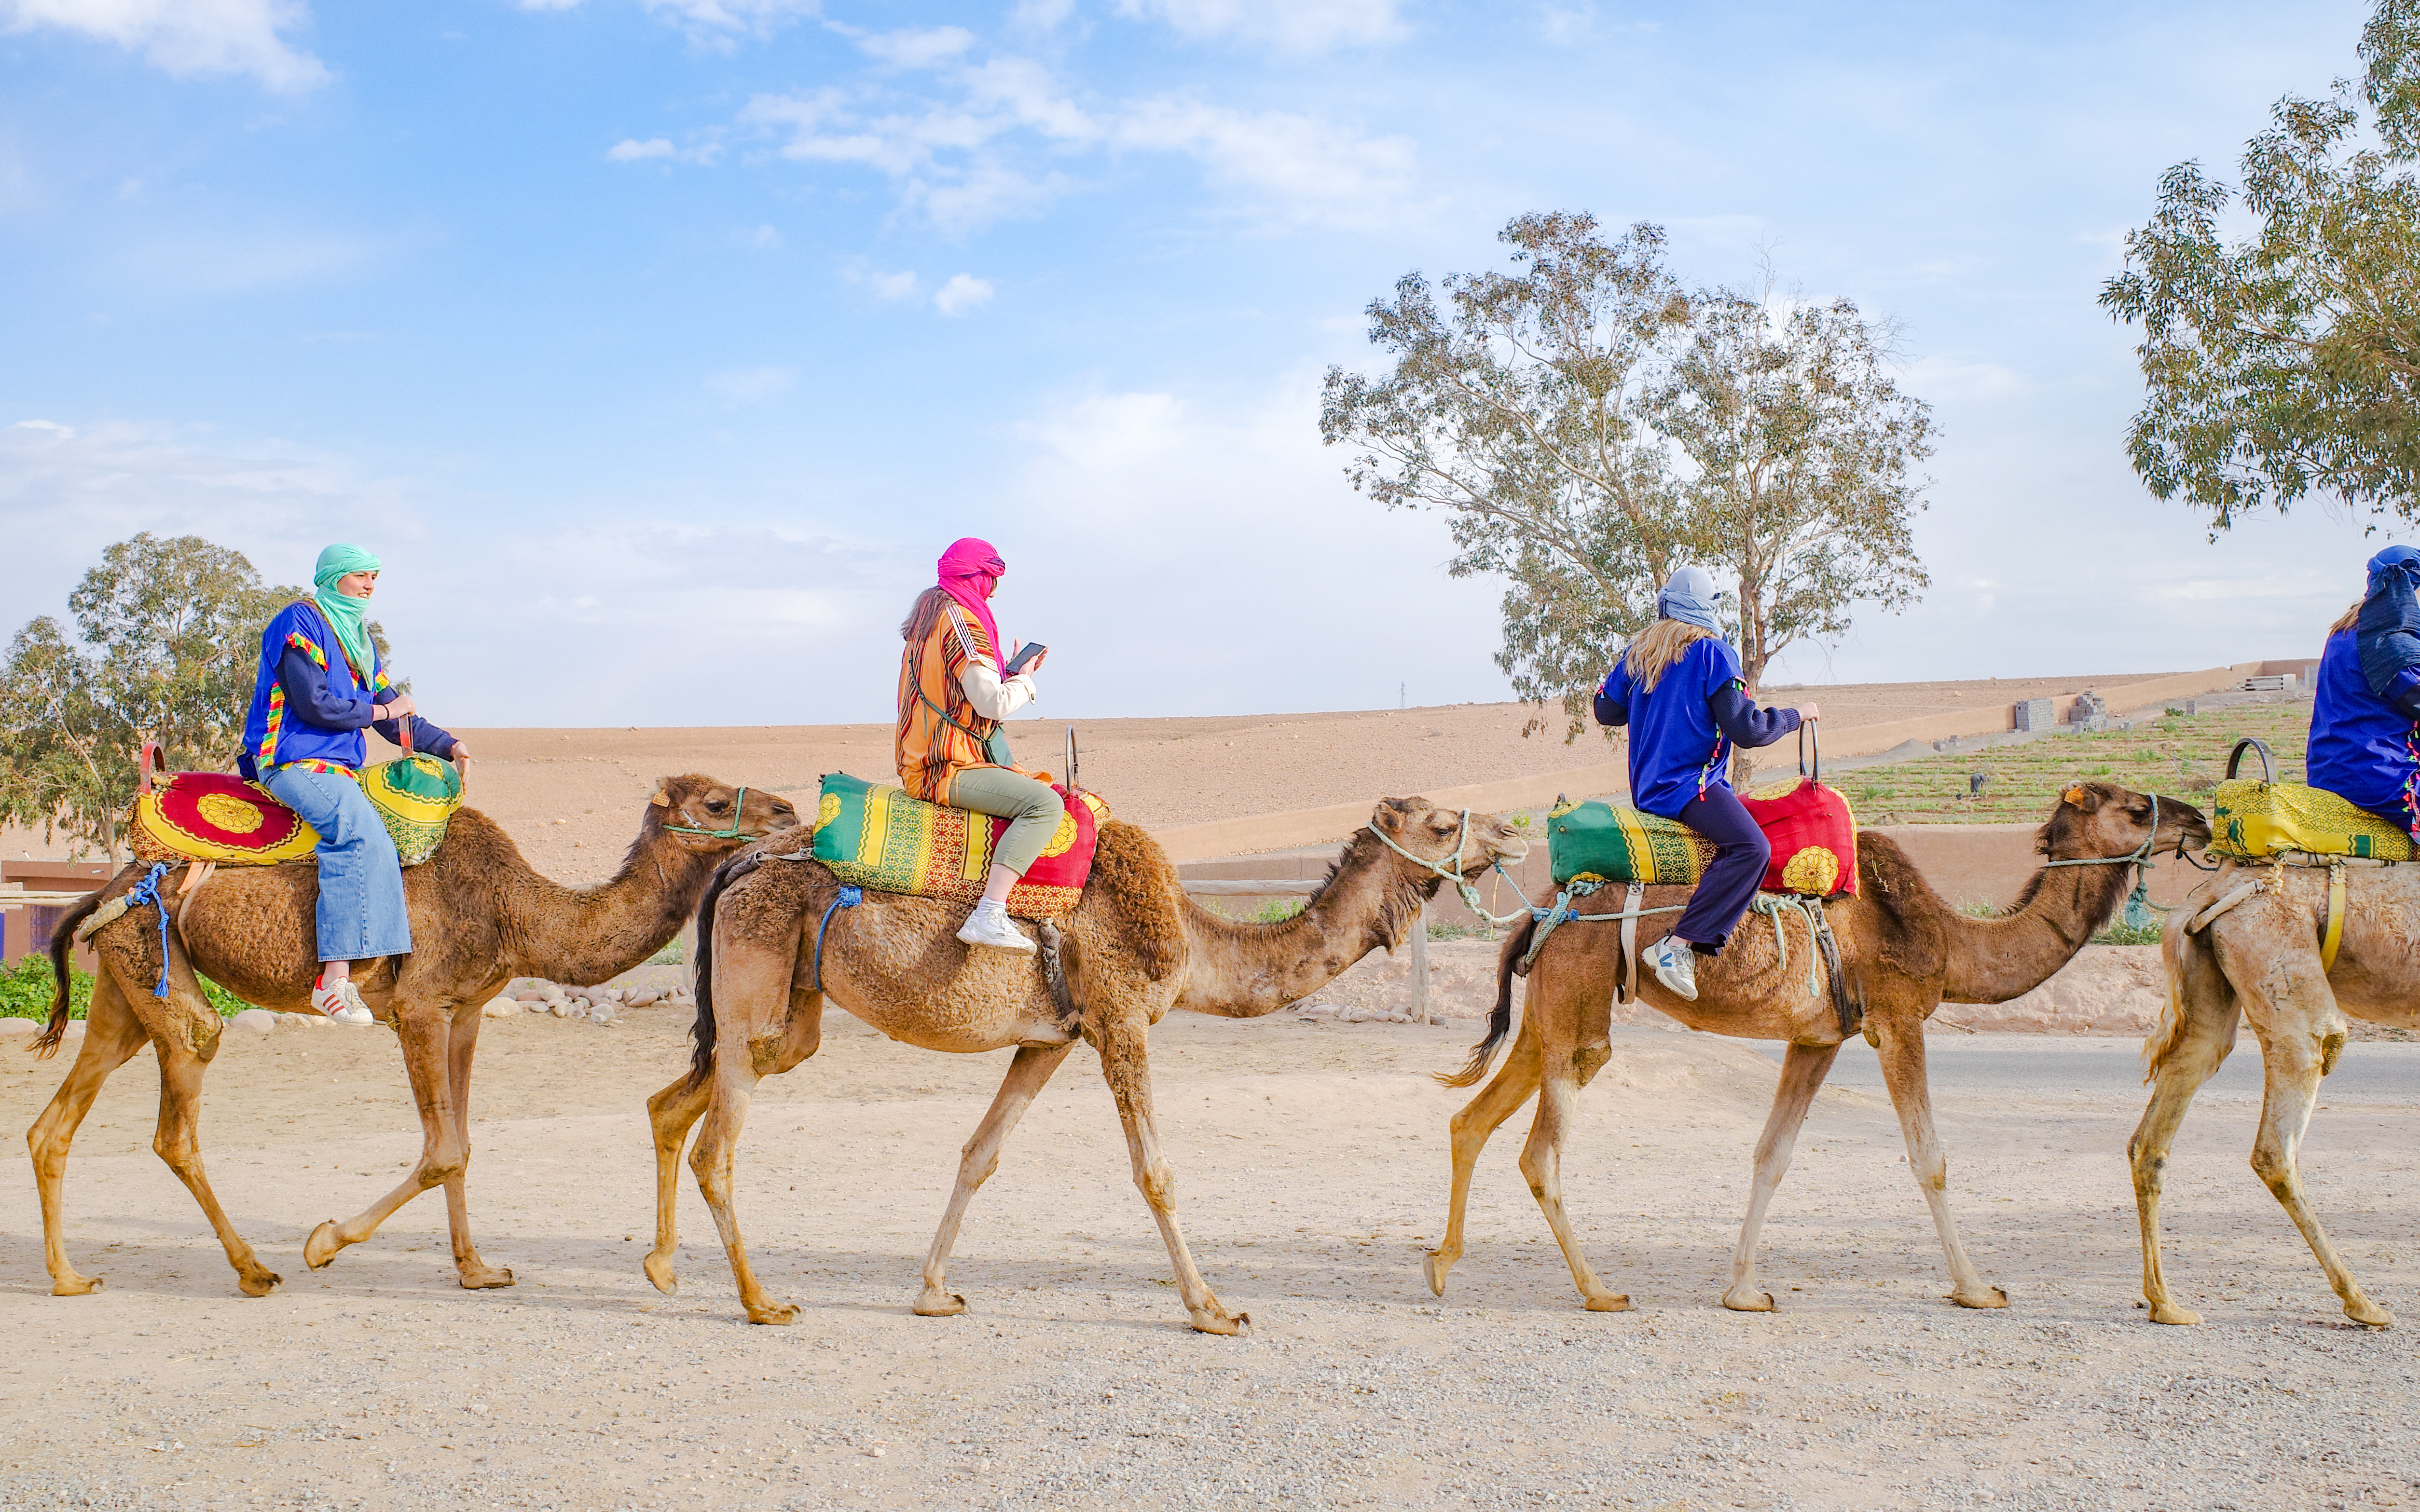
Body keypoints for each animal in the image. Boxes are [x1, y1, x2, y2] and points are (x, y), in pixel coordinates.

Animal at [27, 772, 796, 1298]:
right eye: (716, 803)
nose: (788, 811)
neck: (514, 908)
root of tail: (109, 886)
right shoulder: (419, 1006)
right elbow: (442, 1148)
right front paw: (324, 1243)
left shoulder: (467, 1009)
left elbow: (462, 1143)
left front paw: (477, 1269)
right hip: (158, 966)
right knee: (181, 1103)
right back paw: (253, 1268)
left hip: (125, 982)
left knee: (55, 1121)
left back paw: (69, 1276)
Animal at [641, 795, 1528, 1334]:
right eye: (1442, 824)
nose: (1515, 831)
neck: (1195, 941)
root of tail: (738, 865)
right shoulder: (1121, 1020)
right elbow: (1155, 1172)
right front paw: (1212, 1307)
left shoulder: (1052, 1039)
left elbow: (980, 1154)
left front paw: (932, 1291)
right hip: (757, 974)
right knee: (717, 1146)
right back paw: (761, 1301)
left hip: (787, 1012)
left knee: (674, 1101)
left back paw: (661, 1268)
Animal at [1425, 781, 2208, 1313]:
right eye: (2137, 810)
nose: (2199, 819)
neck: (1953, 942)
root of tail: (1543, 912)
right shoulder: (1897, 1019)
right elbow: (1930, 1160)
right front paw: (1977, 1287)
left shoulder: (1818, 1037)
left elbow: (1772, 1155)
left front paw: (1744, 1290)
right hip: (1581, 1014)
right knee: (1541, 1152)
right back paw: (1598, 1289)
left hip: (1548, 1016)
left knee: (1470, 1120)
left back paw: (1440, 1264)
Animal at [2131, 854, 2420, 1328]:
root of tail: (2213, 891)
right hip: (2278, 969)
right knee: (2279, 1137)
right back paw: (2361, 1301)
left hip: (2210, 982)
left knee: (2155, 1132)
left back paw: (2165, 1303)